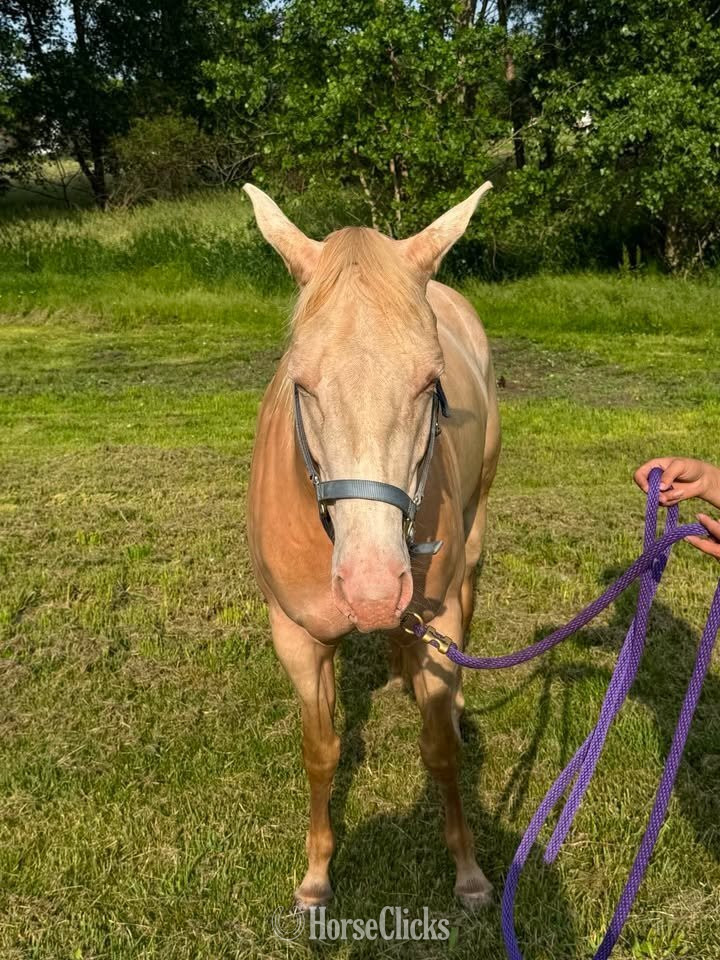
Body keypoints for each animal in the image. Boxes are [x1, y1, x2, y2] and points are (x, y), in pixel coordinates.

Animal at [244, 182, 501, 910]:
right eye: (300, 382)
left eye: (430, 383)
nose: (372, 587)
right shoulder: (296, 638)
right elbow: (321, 750)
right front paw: (315, 875)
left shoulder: (438, 619)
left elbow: (440, 749)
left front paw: (468, 871)